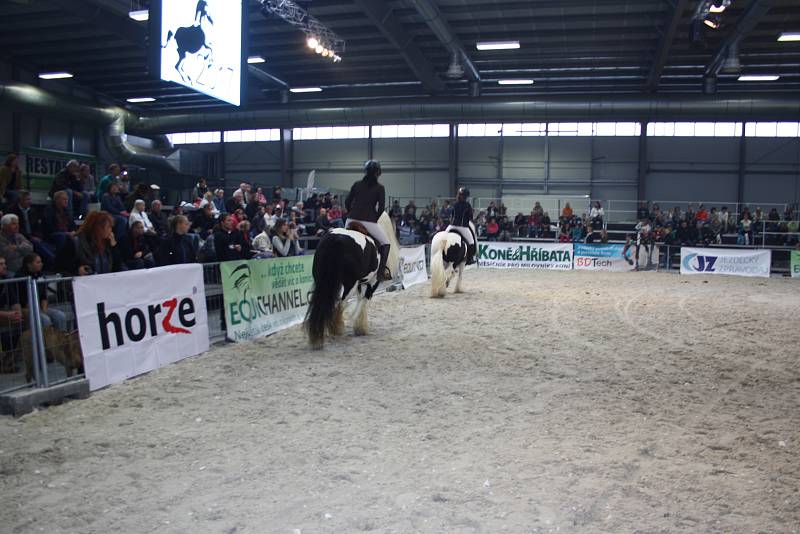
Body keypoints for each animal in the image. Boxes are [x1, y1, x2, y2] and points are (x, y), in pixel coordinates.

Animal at [304, 218, 398, 352]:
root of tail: (335, 239)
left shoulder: (361, 283)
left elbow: (360, 299)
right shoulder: (371, 283)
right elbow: (363, 300)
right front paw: (360, 327)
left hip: (322, 281)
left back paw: (318, 337)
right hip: (350, 284)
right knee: (341, 303)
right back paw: (337, 329)